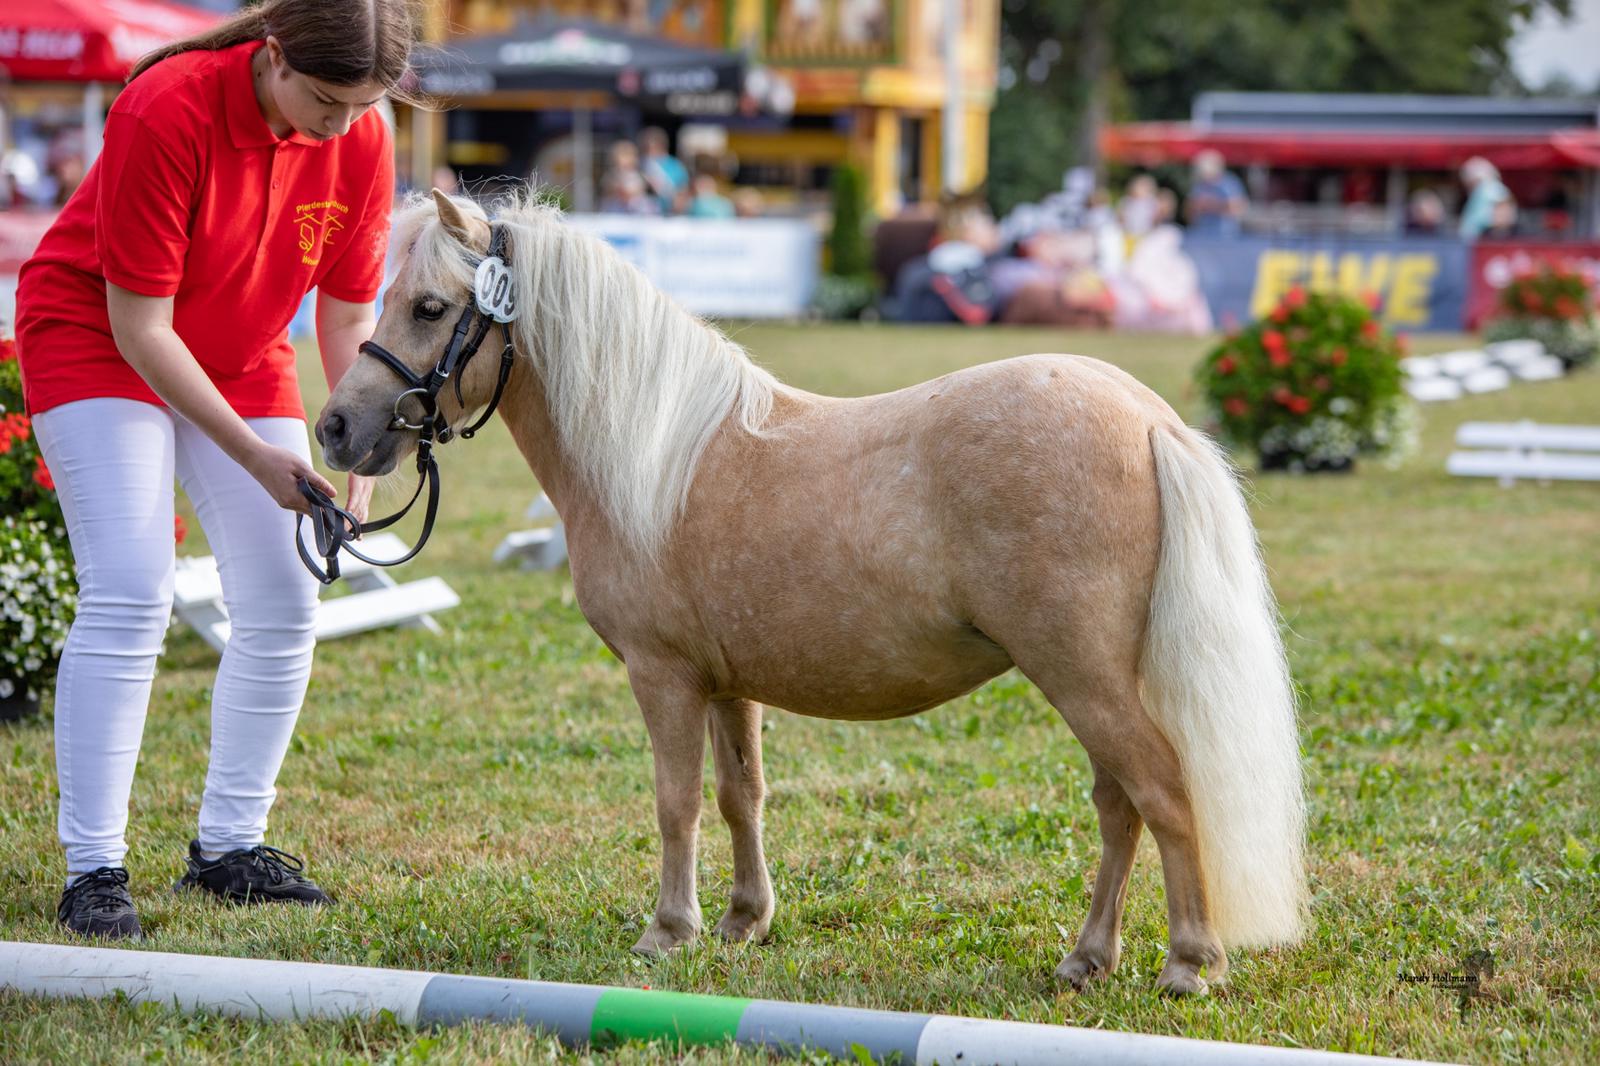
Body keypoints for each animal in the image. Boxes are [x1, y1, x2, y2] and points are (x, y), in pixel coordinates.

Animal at [318, 188, 1305, 985]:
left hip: (1084, 676)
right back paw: (1088, 958)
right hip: (1093, 681)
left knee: (1163, 792)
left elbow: (675, 802)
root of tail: (1149, 420)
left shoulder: (663, 676)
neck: (660, 455)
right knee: (1119, 805)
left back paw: (1189, 962)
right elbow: (739, 796)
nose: (335, 428)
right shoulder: (727, 685)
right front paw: (743, 922)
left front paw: (667, 931)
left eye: (430, 306)